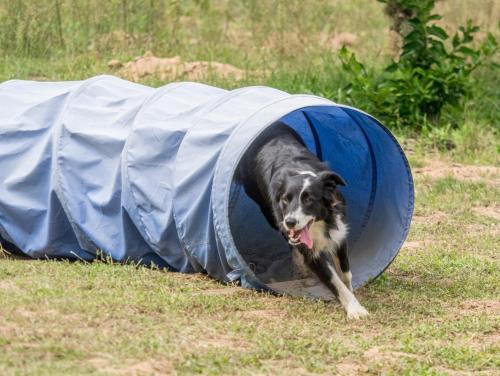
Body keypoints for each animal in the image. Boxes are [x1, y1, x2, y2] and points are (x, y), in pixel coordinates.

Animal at [238, 122, 368, 318]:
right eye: (285, 199)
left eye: (309, 200)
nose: (290, 222)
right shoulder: (309, 250)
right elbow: (333, 279)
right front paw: (354, 308)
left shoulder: (339, 231)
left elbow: (345, 273)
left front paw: (352, 295)